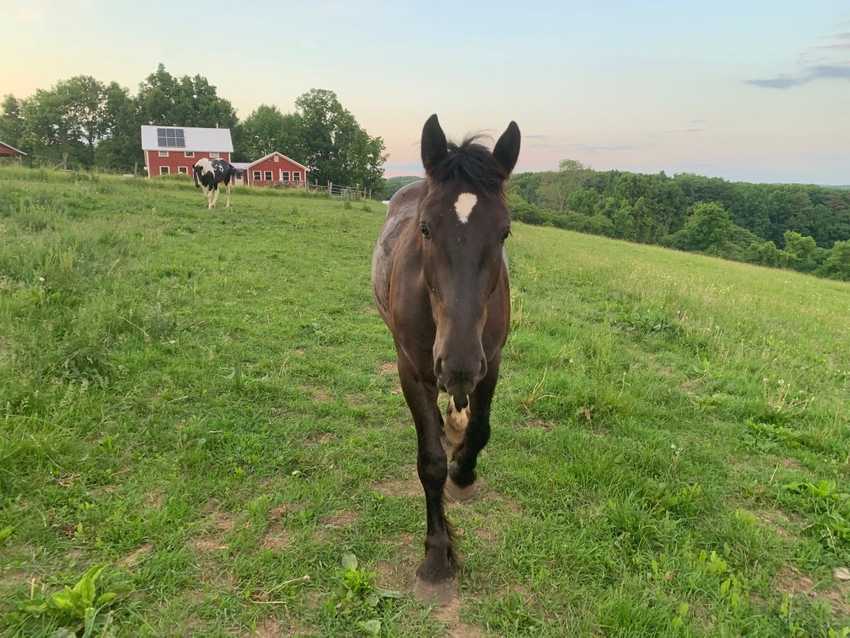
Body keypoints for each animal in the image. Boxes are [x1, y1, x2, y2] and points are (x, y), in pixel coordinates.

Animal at [374, 114, 520, 584]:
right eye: (425, 228)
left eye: (504, 231)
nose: (457, 365)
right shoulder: (413, 371)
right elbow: (430, 462)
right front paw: (438, 553)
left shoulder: (490, 362)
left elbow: (480, 429)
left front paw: (464, 472)